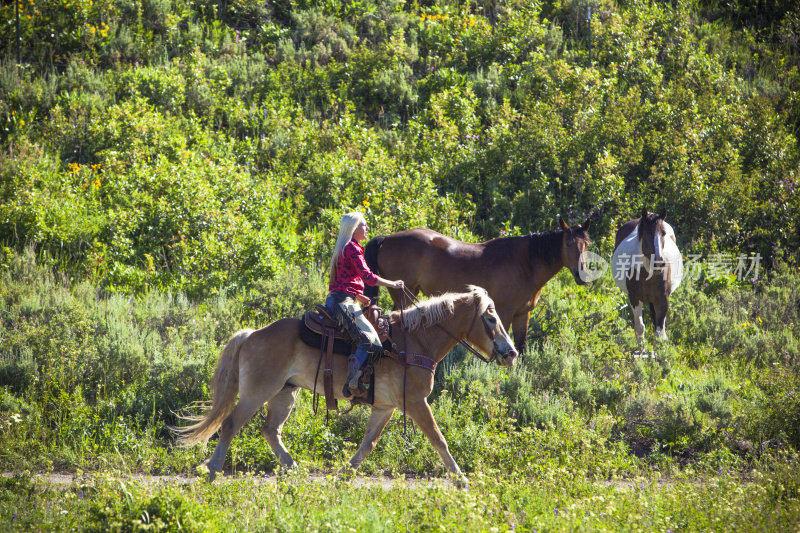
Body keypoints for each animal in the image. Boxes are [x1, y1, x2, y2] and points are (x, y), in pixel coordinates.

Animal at [173, 286, 520, 482]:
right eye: (490, 318)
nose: (511, 353)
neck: (415, 341)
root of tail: (252, 334)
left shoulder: (385, 407)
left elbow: (368, 443)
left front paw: (343, 474)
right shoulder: (415, 403)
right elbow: (439, 439)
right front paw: (461, 479)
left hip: (285, 394)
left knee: (270, 430)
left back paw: (293, 468)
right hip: (257, 392)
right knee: (231, 424)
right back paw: (213, 469)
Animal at [366, 218, 592, 352]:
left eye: (586, 244)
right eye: (568, 244)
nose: (582, 276)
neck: (524, 263)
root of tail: (387, 239)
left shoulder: (522, 314)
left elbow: (521, 345)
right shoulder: (504, 312)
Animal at [612, 206, 680, 342]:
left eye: (663, 233)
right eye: (647, 233)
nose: (658, 263)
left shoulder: (663, 300)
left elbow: (659, 332)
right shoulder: (634, 298)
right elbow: (640, 329)